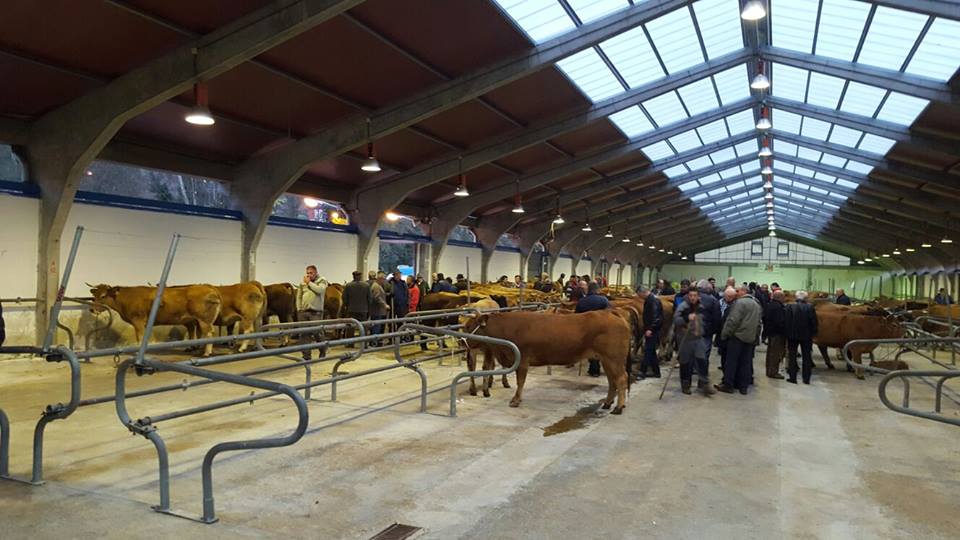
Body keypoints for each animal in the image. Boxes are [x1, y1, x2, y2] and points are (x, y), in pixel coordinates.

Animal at [86, 282, 221, 354]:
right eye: (94, 295)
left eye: (103, 296)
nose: (92, 310)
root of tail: (210, 288)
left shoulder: (138, 321)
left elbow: (140, 338)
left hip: (204, 320)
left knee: (209, 333)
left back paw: (206, 352)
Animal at [464, 308, 632, 414]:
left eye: (468, 326)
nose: (462, 343)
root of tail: (611, 312)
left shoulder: (522, 360)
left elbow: (520, 381)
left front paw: (516, 400)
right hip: (606, 360)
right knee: (612, 381)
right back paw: (607, 403)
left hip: (613, 359)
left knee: (621, 379)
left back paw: (618, 408)